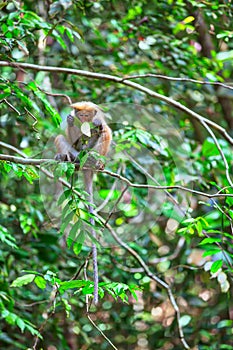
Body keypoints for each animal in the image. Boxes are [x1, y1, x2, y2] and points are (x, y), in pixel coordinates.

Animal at [55, 101, 112, 304]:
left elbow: (105, 130)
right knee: (62, 140)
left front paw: (96, 128)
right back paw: (69, 158)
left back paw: (93, 162)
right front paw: (72, 122)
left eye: (87, 115)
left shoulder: (99, 121)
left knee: (104, 134)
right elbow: (68, 135)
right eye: (81, 115)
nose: (84, 119)